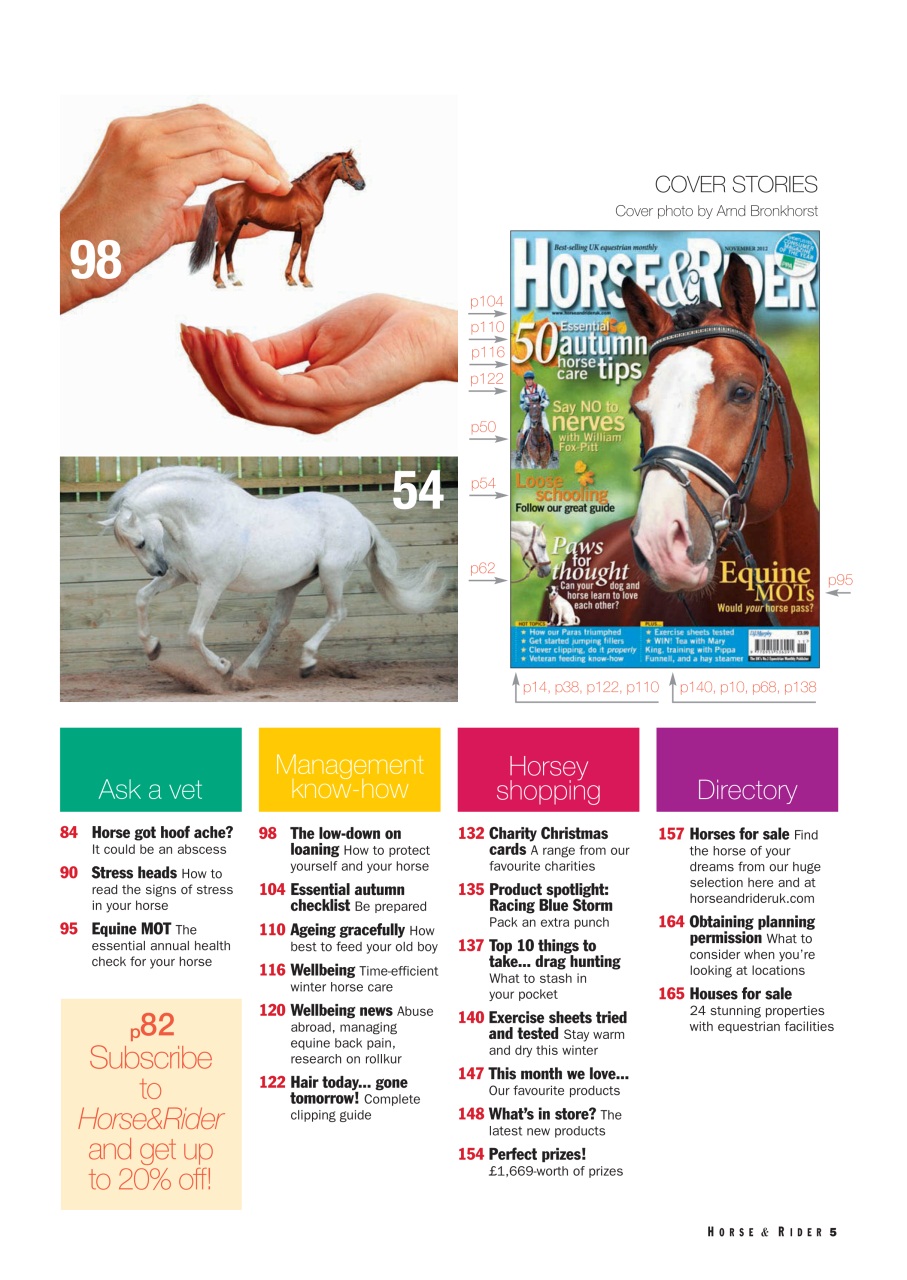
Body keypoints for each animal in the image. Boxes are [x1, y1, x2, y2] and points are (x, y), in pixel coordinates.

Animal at [100, 467, 446, 685]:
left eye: (139, 542)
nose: (157, 569)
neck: (203, 518)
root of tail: (362, 520)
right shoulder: (181, 577)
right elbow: (141, 597)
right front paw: (152, 648)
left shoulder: (212, 586)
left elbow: (195, 633)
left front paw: (222, 668)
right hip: (295, 582)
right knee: (279, 623)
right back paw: (246, 672)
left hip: (332, 574)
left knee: (336, 613)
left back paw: (304, 663)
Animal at [189, 151, 365, 288]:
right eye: (350, 165)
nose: (362, 184)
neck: (310, 191)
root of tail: (219, 191)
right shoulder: (308, 228)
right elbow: (305, 253)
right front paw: (305, 280)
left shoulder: (299, 230)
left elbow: (293, 252)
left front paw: (290, 279)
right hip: (229, 227)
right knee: (220, 248)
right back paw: (219, 281)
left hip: (237, 226)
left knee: (229, 249)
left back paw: (234, 279)